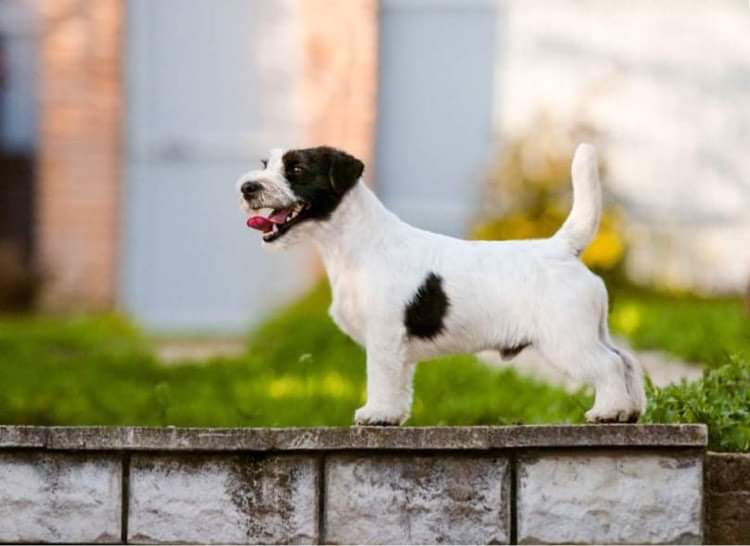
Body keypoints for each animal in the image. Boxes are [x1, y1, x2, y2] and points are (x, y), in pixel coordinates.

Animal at [238, 144, 648, 424]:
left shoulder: (384, 337)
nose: (247, 187)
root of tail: (561, 248)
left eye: (297, 168)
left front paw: (376, 413)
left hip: (567, 340)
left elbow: (381, 377)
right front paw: (393, 415)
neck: (355, 244)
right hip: (591, 331)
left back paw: (608, 411)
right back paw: (631, 410)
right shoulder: (397, 348)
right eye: (265, 165)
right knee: (627, 360)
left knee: (609, 365)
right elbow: (400, 383)